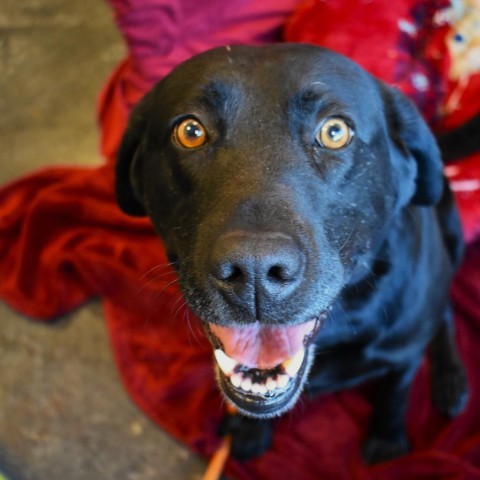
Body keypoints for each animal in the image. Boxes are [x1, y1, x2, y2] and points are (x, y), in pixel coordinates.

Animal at [115, 43, 468, 464]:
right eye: (190, 131)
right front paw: (249, 431)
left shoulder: (405, 354)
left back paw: (449, 376)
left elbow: (394, 397)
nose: (254, 270)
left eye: (335, 132)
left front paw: (387, 442)